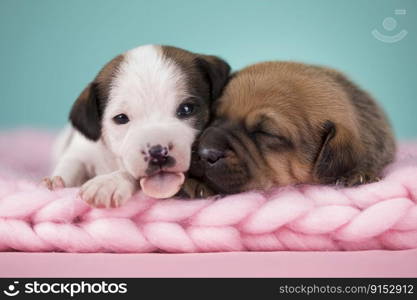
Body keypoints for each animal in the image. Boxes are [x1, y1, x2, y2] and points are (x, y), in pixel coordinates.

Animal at [44, 44, 229, 207]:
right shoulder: (82, 149)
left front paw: (110, 181)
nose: (158, 153)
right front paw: (56, 181)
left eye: (186, 109)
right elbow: (71, 163)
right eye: (121, 118)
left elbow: (127, 171)